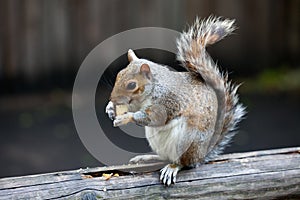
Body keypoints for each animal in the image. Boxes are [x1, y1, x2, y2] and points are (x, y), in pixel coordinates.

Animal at [105, 16, 246, 186]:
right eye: (119, 75)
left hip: (187, 140)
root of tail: (201, 155)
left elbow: (155, 117)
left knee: (183, 162)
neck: (154, 87)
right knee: (164, 156)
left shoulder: (168, 101)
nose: (112, 98)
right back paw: (147, 157)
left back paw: (173, 167)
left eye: (132, 85)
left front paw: (126, 117)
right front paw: (110, 108)